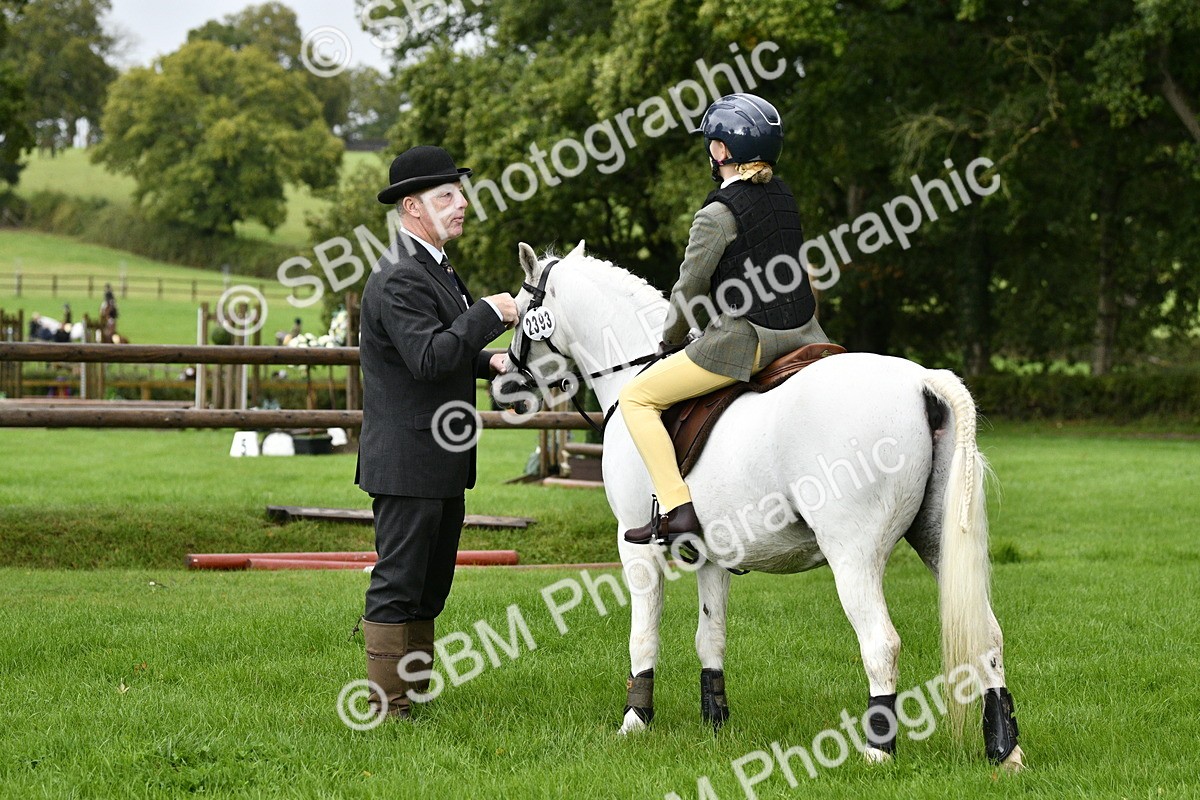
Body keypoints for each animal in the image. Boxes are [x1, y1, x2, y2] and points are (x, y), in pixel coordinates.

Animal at [503, 241, 1024, 770]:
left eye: (521, 312)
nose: (507, 387)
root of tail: (921, 381)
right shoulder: (711, 556)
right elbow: (710, 636)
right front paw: (715, 722)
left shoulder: (634, 544)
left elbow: (643, 635)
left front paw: (635, 721)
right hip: (938, 543)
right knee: (987, 635)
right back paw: (1006, 751)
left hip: (852, 556)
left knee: (882, 643)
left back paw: (877, 751)